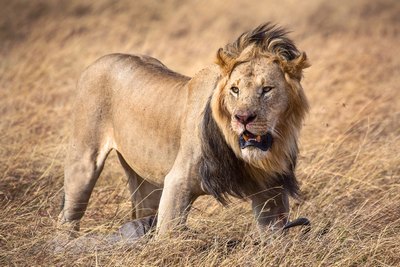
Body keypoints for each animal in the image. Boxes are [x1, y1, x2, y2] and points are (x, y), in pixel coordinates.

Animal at [58, 22, 310, 237]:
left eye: (267, 89)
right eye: (235, 90)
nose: (243, 118)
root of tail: (103, 58)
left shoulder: (272, 192)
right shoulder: (177, 183)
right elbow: (168, 236)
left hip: (145, 181)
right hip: (83, 163)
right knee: (68, 215)